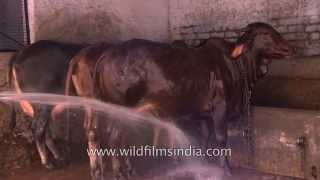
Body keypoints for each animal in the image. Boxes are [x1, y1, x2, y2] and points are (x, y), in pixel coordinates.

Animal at [8, 40, 85, 169]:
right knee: (37, 129)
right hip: (42, 103)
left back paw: (58, 156)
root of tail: (19, 53)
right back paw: (48, 163)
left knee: (45, 130)